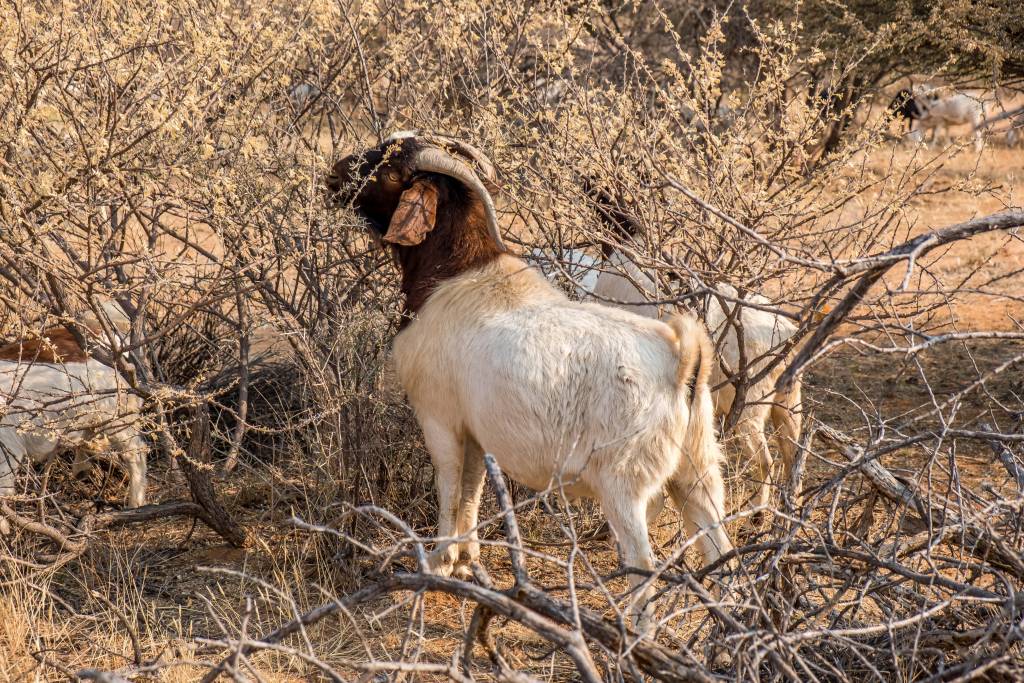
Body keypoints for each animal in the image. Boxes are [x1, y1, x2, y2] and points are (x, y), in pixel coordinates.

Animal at [323, 132, 733, 626]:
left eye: (389, 170)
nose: (333, 176)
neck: (457, 272)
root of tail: (680, 359)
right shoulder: (477, 433)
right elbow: (471, 488)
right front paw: (467, 560)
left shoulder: (439, 417)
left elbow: (448, 484)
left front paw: (440, 561)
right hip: (697, 470)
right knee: (720, 548)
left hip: (624, 485)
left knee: (642, 564)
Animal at [544, 193, 806, 518]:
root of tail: (785, 334)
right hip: (788, 402)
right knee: (794, 454)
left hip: (750, 410)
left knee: (766, 459)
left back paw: (758, 514)